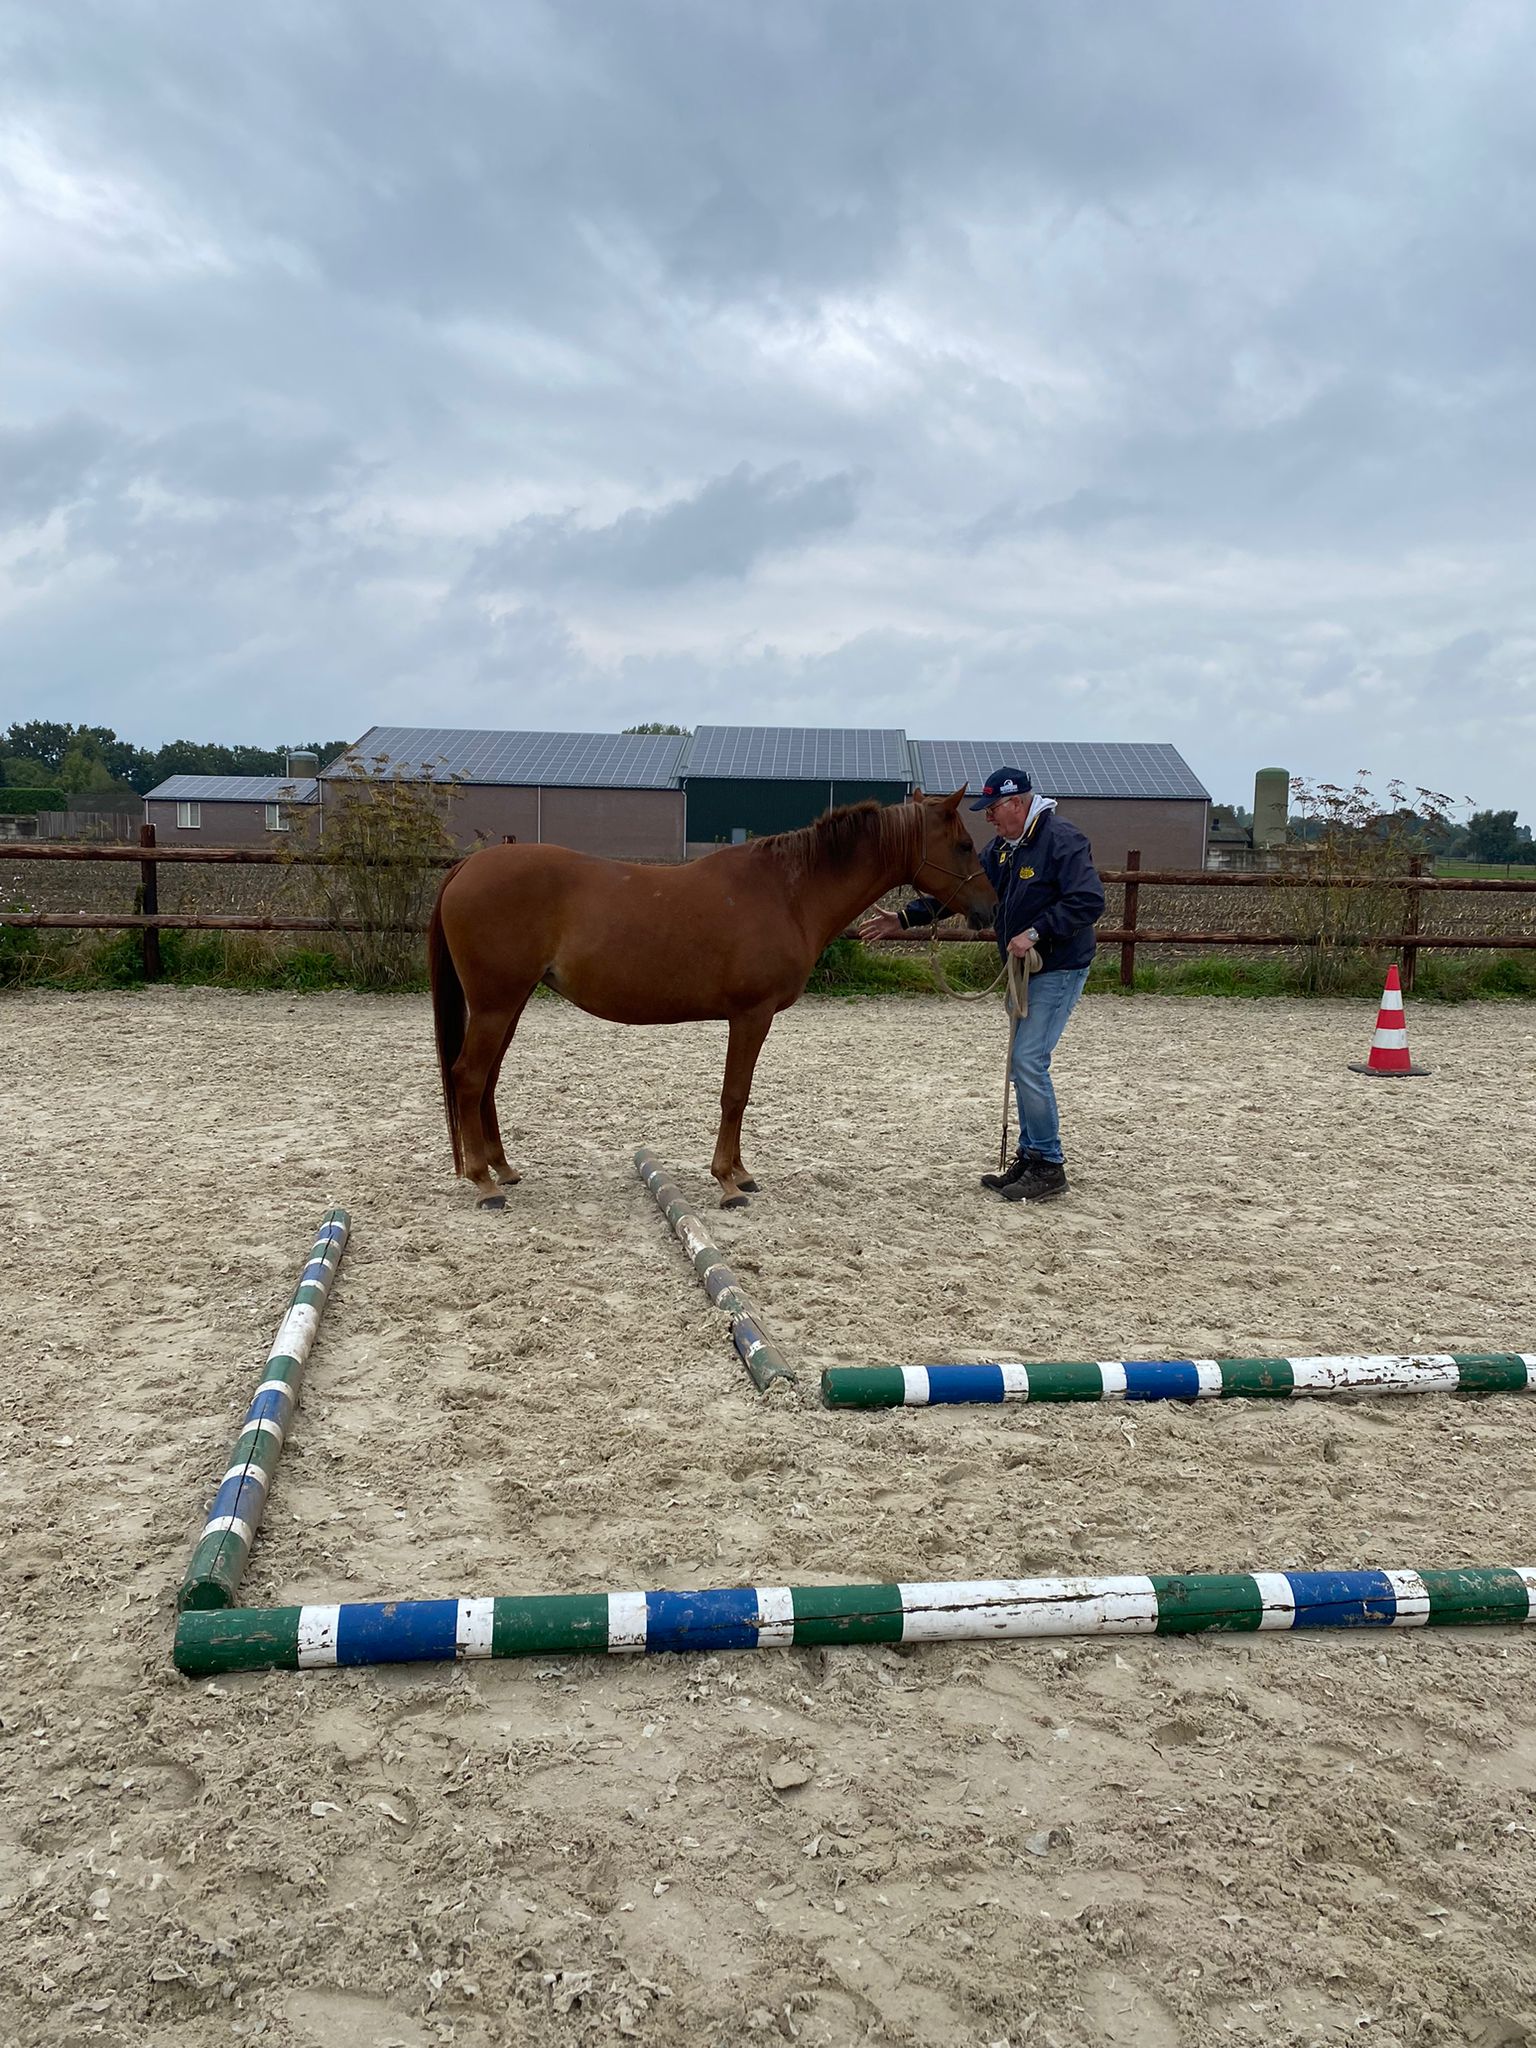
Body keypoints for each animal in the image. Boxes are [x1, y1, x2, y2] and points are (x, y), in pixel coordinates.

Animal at [430, 782, 999, 1196]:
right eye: (965, 845)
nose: (991, 910)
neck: (787, 892)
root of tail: (469, 864)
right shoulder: (751, 1015)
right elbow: (735, 1095)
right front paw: (729, 1181)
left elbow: (738, 1096)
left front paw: (739, 1172)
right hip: (495, 1004)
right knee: (468, 1077)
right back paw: (483, 1182)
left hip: (510, 1003)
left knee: (486, 1080)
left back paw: (503, 1169)